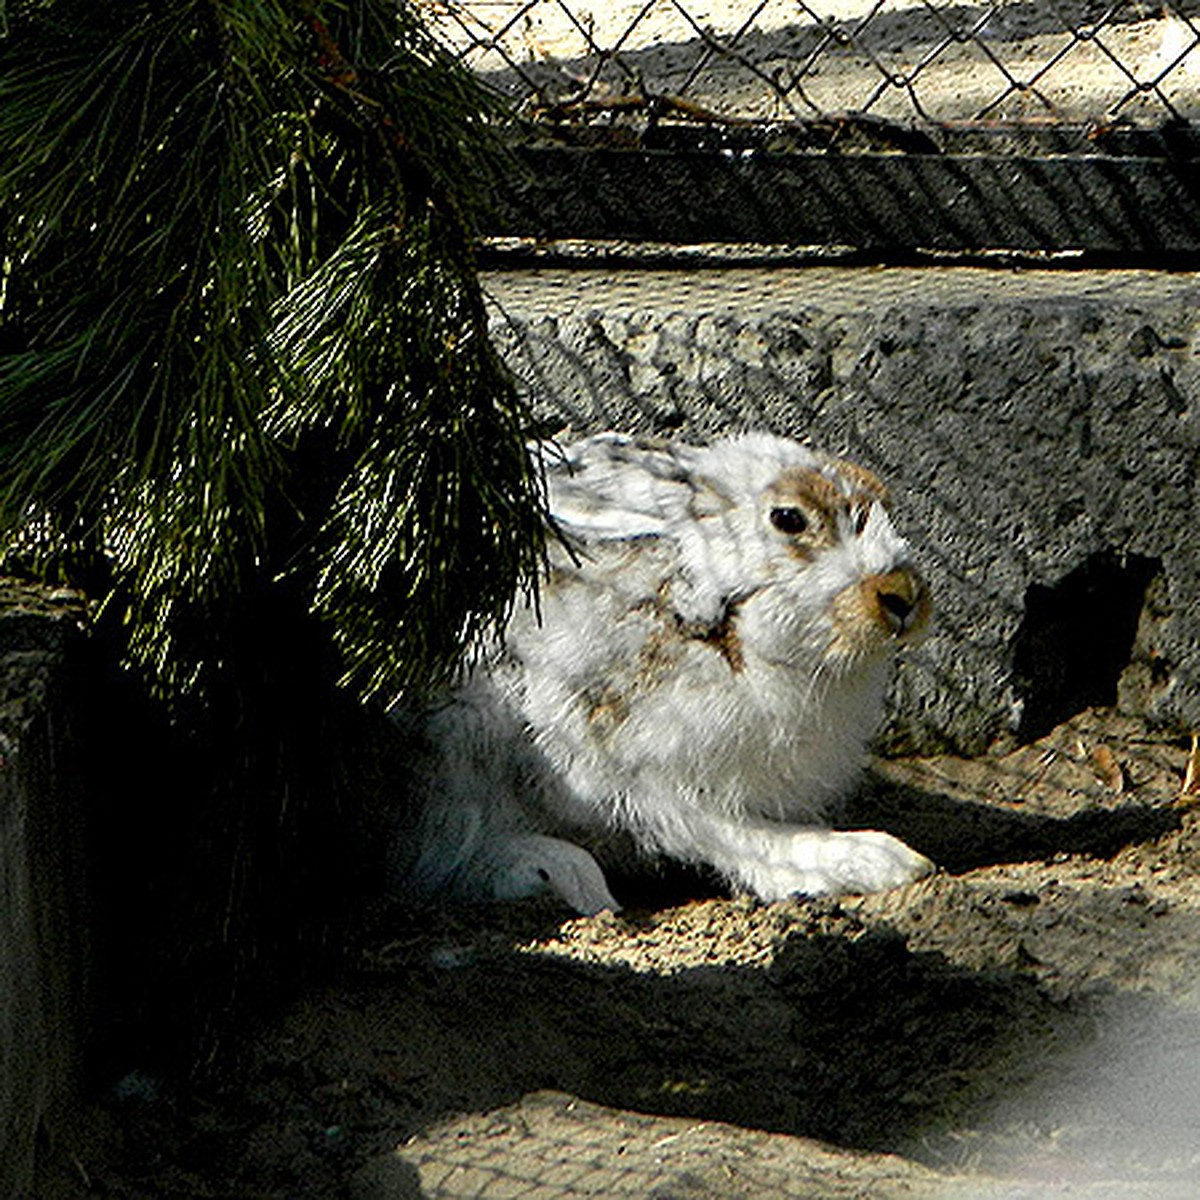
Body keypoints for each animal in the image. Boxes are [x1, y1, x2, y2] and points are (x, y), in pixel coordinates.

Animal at [396, 436, 936, 912]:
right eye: (788, 518)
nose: (902, 595)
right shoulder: (641, 764)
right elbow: (725, 832)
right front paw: (875, 861)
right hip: (464, 735)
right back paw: (560, 874)